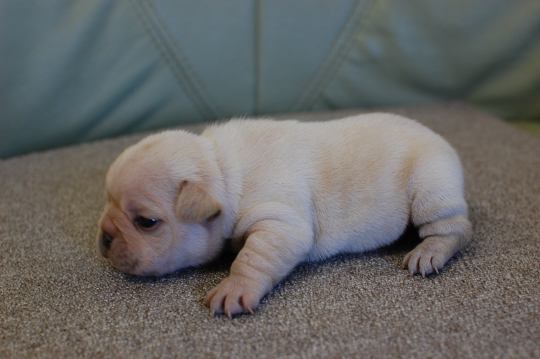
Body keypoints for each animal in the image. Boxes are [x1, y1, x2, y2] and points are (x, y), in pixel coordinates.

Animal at [97, 114, 472, 318]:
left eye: (146, 222)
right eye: (107, 201)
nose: (104, 236)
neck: (222, 169)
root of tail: (442, 140)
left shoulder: (279, 222)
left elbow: (252, 259)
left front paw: (235, 288)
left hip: (430, 186)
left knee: (456, 229)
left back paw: (429, 252)